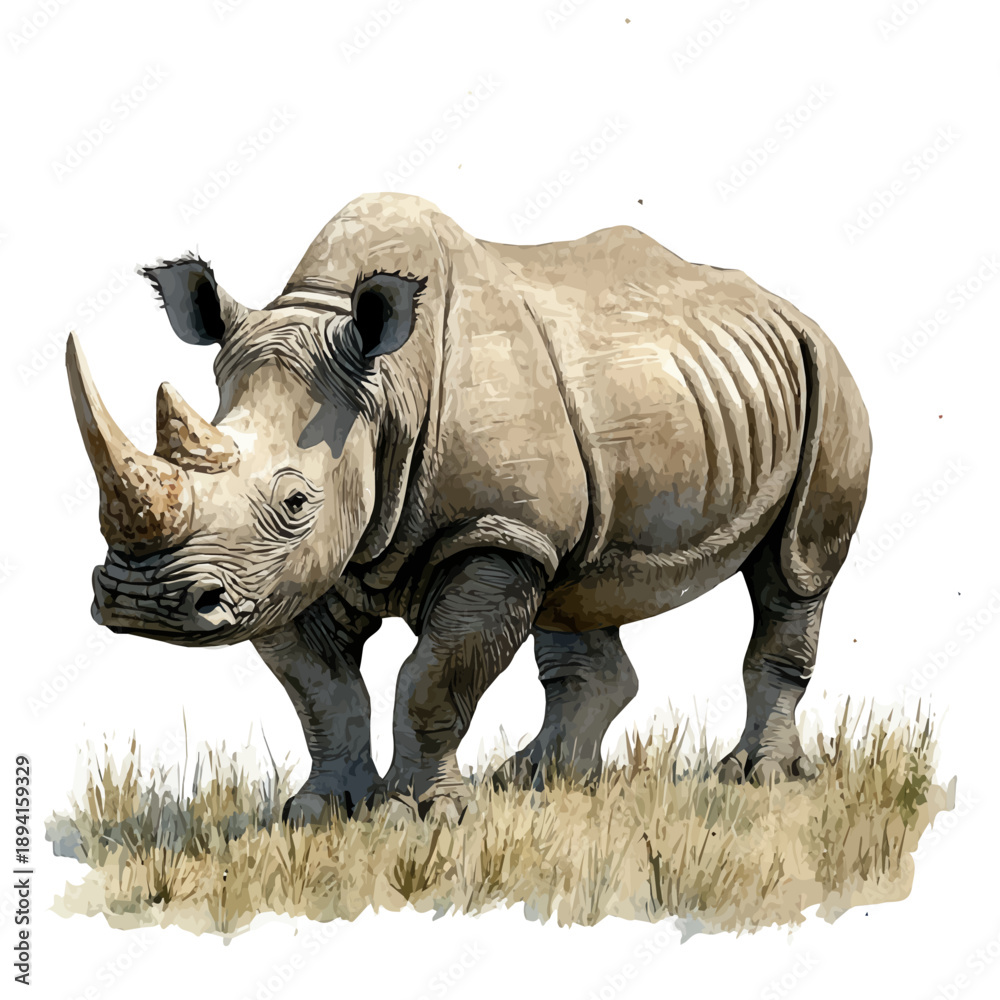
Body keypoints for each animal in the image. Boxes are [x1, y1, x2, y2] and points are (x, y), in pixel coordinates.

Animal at [66, 192, 871, 821]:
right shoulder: (286, 568)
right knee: (581, 588)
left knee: (795, 572)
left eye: (296, 499)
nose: (143, 603)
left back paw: (756, 777)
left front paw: (415, 816)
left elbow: (433, 676)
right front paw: (320, 811)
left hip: (829, 377)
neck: (384, 390)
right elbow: (322, 690)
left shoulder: (493, 532)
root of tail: (785, 307)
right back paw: (541, 781)